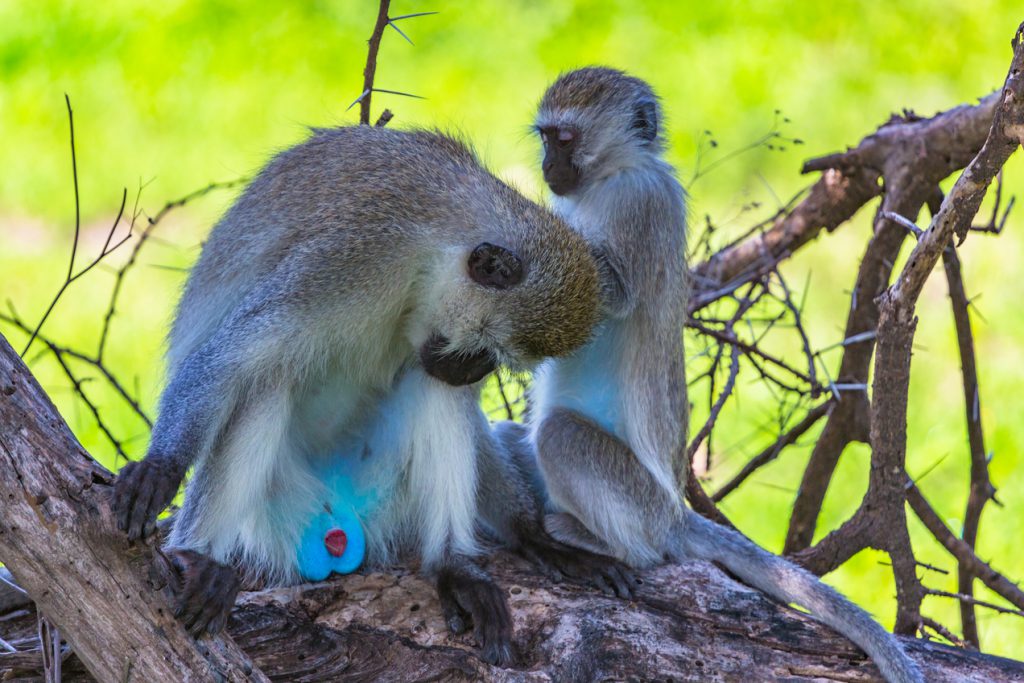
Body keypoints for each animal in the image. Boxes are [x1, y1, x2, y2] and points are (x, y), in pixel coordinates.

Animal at [112, 124, 634, 665]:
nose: (473, 373)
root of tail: (338, 518)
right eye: (489, 350)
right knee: (265, 380)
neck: (433, 250)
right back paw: (198, 559)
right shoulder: (351, 259)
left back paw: (454, 566)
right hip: (274, 511)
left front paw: (534, 536)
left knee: (431, 390)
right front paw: (160, 468)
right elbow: (229, 360)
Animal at [494, 67, 922, 683]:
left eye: (566, 139)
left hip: (642, 505)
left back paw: (600, 543)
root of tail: (675, 514)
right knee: (514, 436)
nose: (549, 167)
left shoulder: (641, 204)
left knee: (573, 451)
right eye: (546, 137)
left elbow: (609, 292)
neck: (611, 176)